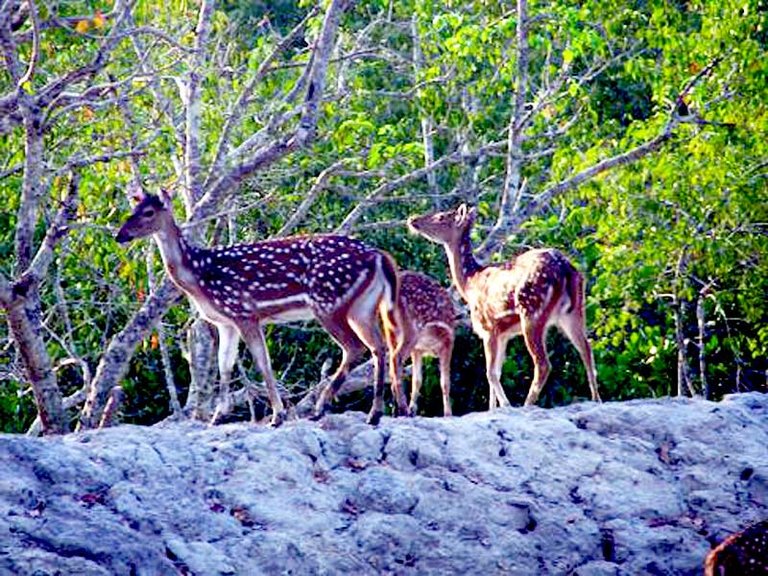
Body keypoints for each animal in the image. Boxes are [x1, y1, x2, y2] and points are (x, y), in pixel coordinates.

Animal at [115, 190, 408, 428]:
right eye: (133, 208)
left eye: (148, 212)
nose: (120, 235)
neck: (199, 276)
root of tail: (379, 256)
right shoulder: (226, 322)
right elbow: (224, 364)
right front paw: (217, 416)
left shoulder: (244, 311)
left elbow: (262, 362)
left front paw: (278, 416)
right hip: (362, 307)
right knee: (379, 346)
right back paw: (375, 414)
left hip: (328, 302)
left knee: (355, 347)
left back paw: (321, 407)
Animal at [396, 272, 456, 416]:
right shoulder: (448, 341)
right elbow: (445, 381)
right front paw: (448, 413)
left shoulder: (418, 349)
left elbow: (417, 380)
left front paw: (413, 409)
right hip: (409, 331)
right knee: (395, 359)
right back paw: (402, 408)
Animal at [408, 205, 600, 408]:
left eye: (441, 217)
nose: (413, 219)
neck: (469, 284)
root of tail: (565, 268)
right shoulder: (504, 333)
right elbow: (497, 372)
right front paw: (494, 407)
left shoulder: (488, 327)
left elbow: (490, 373)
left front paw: (506, 403)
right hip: (574, 310)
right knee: (586, 348)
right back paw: (596, 398)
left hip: (532, 311)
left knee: (543, 364)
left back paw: (527, 403)